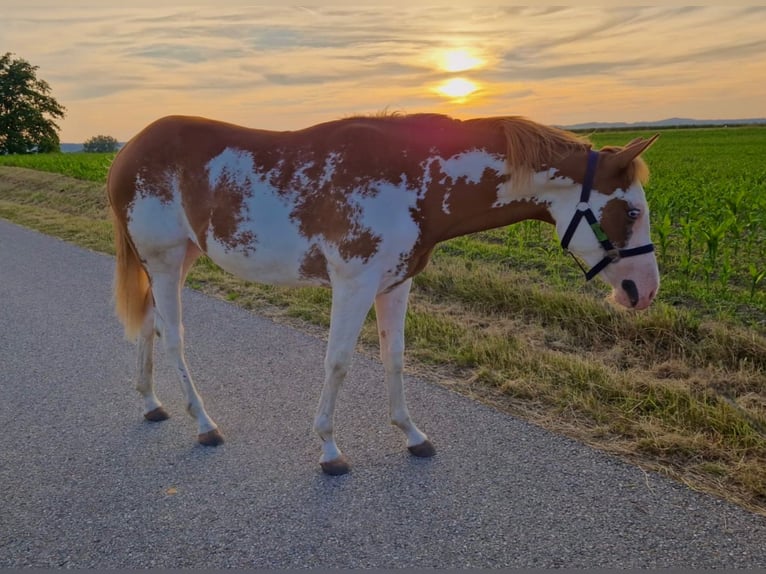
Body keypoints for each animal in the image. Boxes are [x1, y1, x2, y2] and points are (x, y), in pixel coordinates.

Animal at [107, 113, 660, 475]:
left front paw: (412, 435)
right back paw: (204, 424)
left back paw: (151, 402)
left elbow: (394, 356)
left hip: (178, 259)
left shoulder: (396, 283)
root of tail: (126, 152)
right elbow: (338, 362)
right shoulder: (353, 285)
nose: (644, 291)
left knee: (151, 325)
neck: (414, 180)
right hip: (164, 259)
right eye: (631, 211)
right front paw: (330, 451)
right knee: (174, 336)